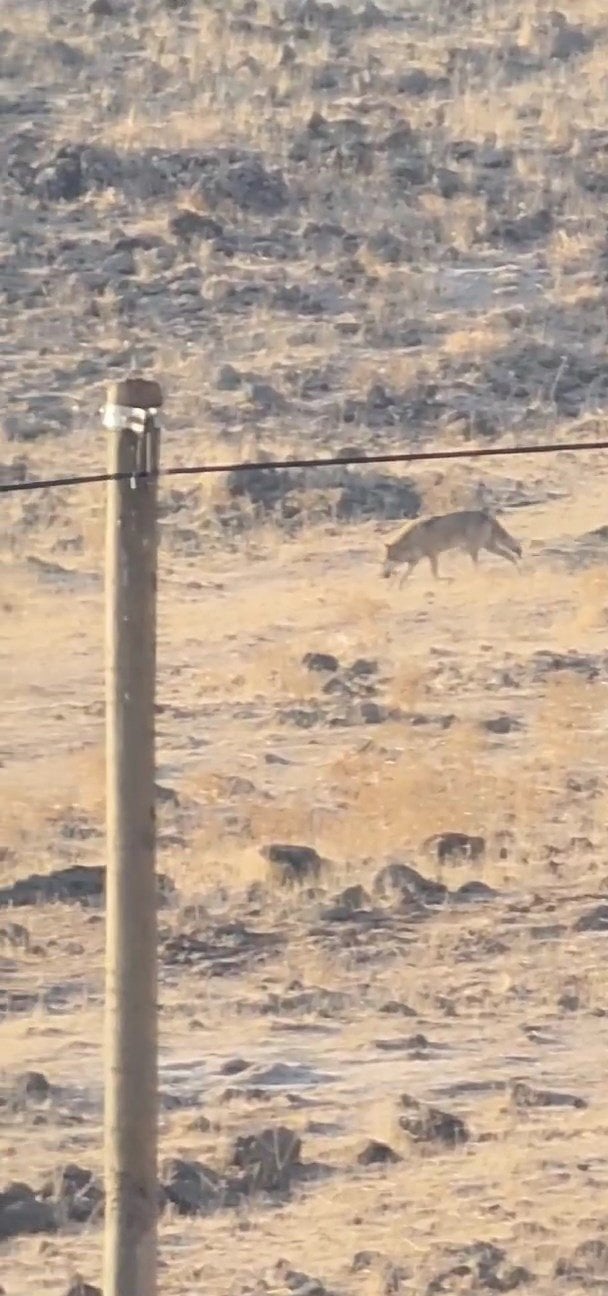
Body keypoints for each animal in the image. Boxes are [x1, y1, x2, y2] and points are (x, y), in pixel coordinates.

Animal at [381, 510, 518, 583]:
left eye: (387, 560)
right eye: (384, 562)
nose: (383, 575)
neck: (412, 540)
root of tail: (485, 514)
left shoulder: (432, 555)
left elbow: (435, 574)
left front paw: (448, 579)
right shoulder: (414, 561)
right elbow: (404, 577)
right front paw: (399, 589)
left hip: (473, 549)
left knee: (477, 565)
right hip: (488, 546)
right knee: (510, 555)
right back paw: (518, 570)